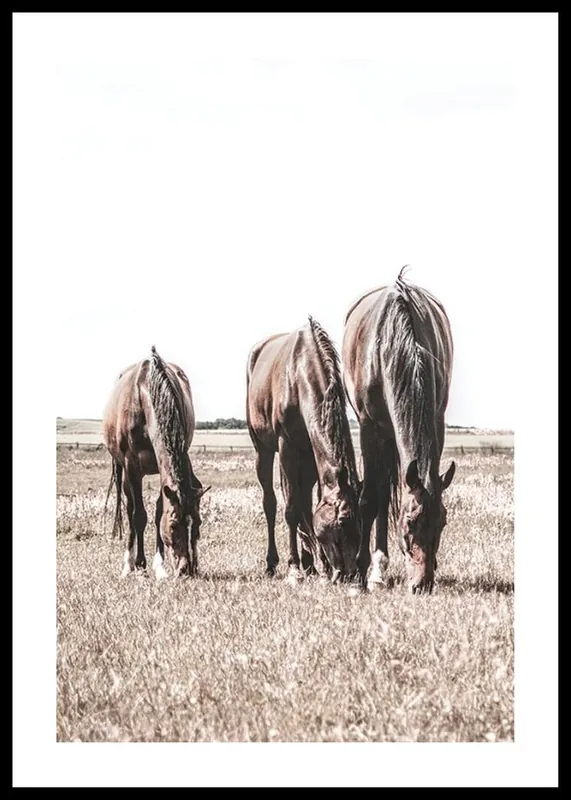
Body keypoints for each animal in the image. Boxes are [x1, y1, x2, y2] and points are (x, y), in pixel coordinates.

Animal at [103, 346, 210, 579]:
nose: (186, 569)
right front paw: (137, 564)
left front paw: (159, 566)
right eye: (174, 526)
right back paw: (131, 563)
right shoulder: (132, 466)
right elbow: (139, 516)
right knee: (130, 510)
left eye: (198, 522)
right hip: (125, 473)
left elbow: (158, 512)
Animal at [246, 316, 361, 584]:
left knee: (304, 504)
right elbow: (291, 509)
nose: (348, 575)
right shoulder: (286, 447)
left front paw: (320, 566)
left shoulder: (311, 453)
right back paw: (274, 564)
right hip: (263, 450)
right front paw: (294, 567)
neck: (299, 374)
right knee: (272, 503)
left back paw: (310, 564)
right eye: (341, 523)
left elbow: (309, 507)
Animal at [342, 266, 456, 594]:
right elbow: (369, 499)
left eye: (443, 522)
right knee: (380, 492)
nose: (422, 584)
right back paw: (375, 571)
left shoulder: (437, 420)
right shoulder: (369, 426)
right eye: (409, 522)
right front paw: (360, 574)